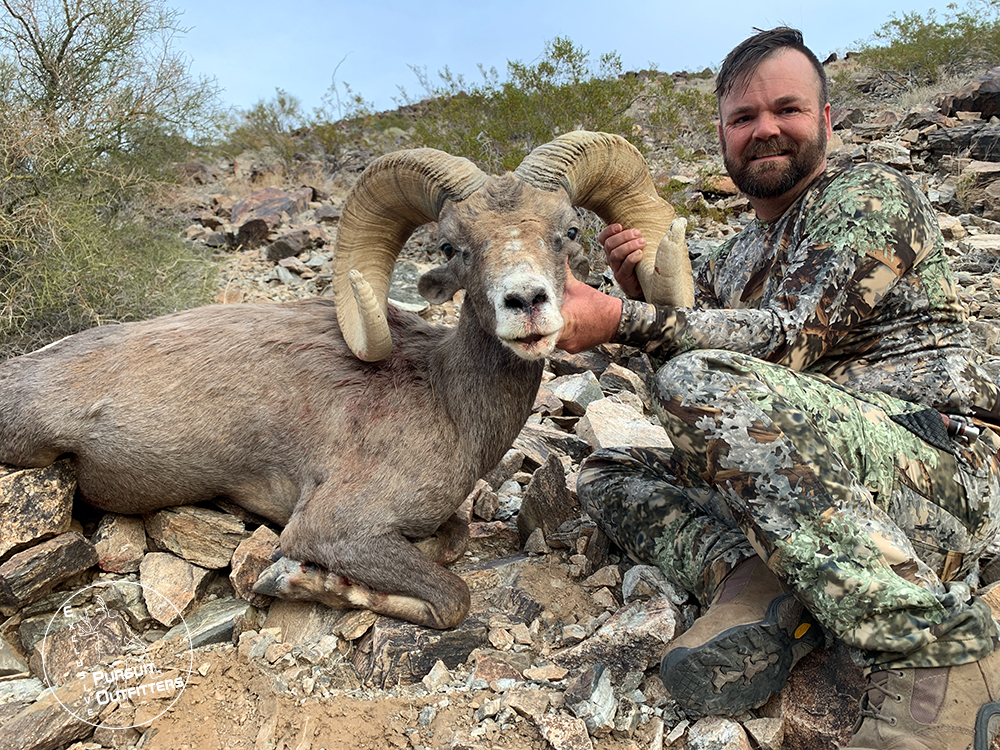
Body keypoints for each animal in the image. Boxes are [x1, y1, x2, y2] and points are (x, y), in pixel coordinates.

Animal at [0, 132, 692, 632]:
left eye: (568, 232)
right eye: (455, 246)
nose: (526, 302)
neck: (445, 398)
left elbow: (451, 542)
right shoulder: (332, 526)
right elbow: (452, 598)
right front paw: (305, 581)